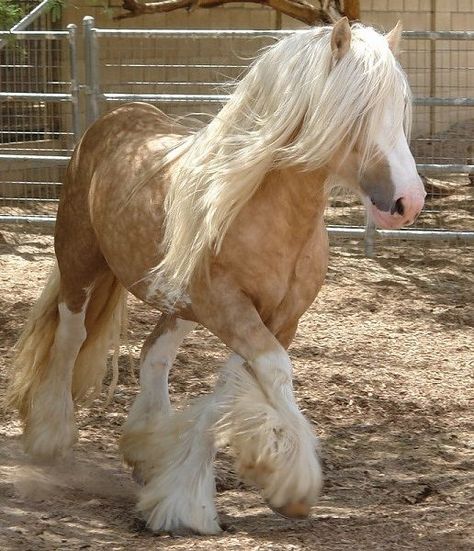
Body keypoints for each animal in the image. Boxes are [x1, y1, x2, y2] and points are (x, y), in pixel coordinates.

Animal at [7, 20, 424, 536]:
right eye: (358, 109)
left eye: (400, 109)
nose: (409, 202)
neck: (262, 212)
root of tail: (113, 118)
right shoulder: (227, 307)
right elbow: (273, 373)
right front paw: (291, 484)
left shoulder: (280, 318)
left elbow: (232, 386)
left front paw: (185, 490)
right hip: (80, 264)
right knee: (70, 339)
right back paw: (50, 438)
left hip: (178, 305)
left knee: (153, 356)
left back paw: (145, 450)